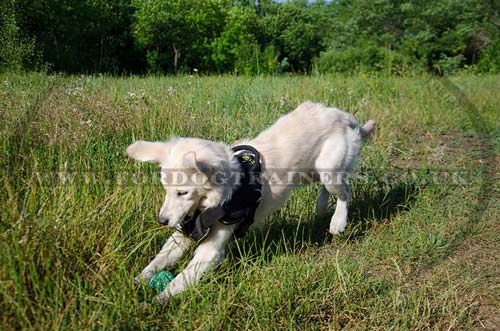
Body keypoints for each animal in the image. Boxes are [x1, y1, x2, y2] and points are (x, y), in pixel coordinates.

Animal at [126, 102, 376, 306]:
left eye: (183, 192)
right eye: (165, 190)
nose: (162, 220)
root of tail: (344, 116)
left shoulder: (212, 248)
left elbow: (181, 279)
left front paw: (155, 301)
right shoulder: (184, 231)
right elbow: (158, 261)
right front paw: (137, 281)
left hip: (328, 168)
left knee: (345, 191)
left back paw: (338, 221)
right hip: (312, 173)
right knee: (330, 188)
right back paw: (322, 207)